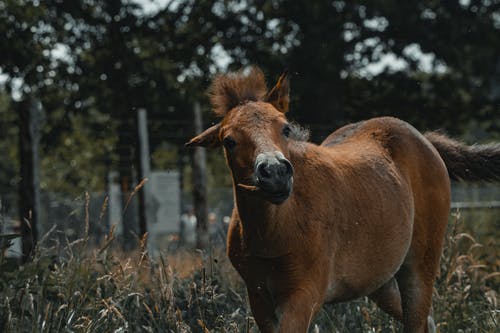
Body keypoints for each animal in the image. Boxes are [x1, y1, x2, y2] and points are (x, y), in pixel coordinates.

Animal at [187, 66, 500, 330]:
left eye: (285, 128)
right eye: (229, 141)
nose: (275, 173)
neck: (276, 227)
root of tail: (425, 141)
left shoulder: (304, 294)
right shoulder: (259, 298)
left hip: (420, 266)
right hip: (380, 281)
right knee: (427, 320)